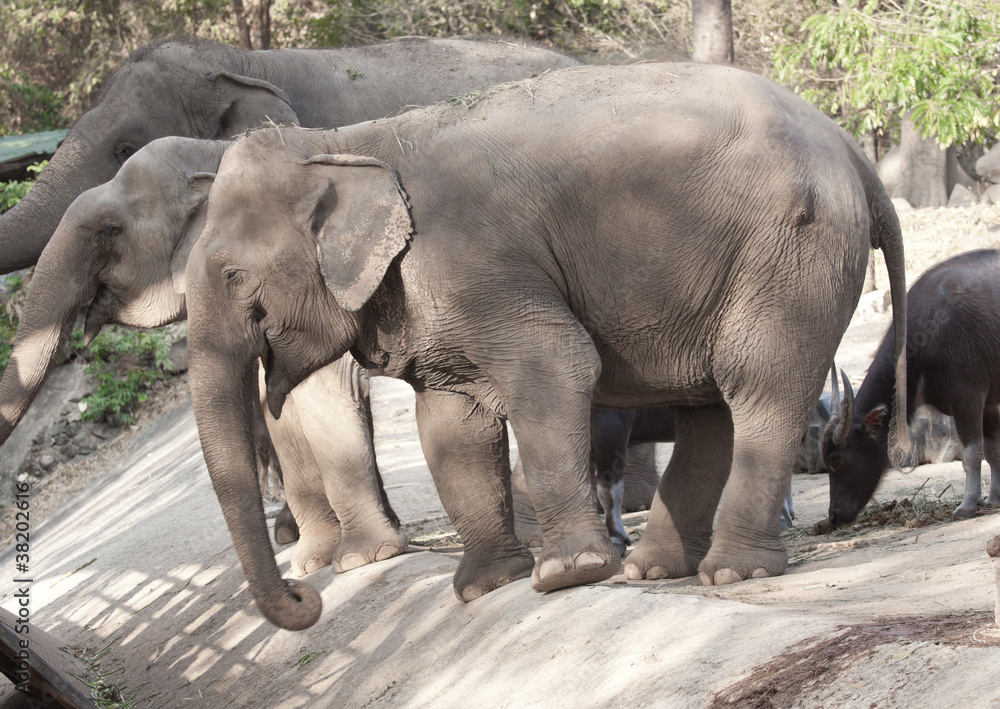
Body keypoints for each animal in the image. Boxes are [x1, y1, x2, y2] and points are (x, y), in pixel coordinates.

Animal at [0, 137, 406, 577]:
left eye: (110, 230)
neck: (212, 149)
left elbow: (322, 389)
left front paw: (361, 557)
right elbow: (280, 409)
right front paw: (314, 558)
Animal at [184, 62, 909, 631]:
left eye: (234, 277)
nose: (305, 593)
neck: (343, 143)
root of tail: (852, 150)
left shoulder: (479, 263)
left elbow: (559, 367)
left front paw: (567, 574)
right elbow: (449, 418)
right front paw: (485, 586)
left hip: (791, 251)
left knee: (756, 384)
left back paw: (729, 573)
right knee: (712, 405)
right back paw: (656, 570)